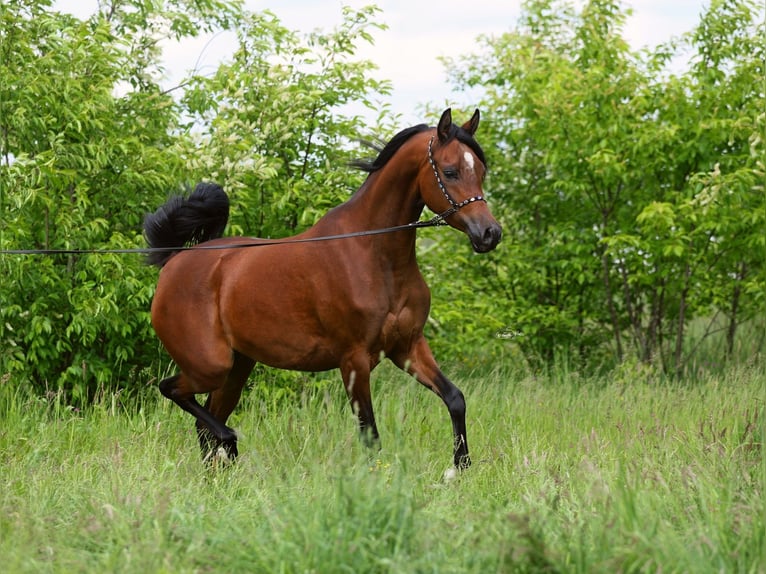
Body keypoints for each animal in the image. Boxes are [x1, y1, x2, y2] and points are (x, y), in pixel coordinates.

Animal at [144, 108, 502, 470]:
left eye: (481, 170)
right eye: (450, 171)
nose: (489, 233)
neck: (374, 255)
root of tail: (175, 260)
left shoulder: (408, 347)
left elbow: (455, 399)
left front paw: (460, 468)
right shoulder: (354, 361)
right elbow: (370, 435)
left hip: (237, 367)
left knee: (204, 425)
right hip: (210, 366)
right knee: (174, 392)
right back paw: (229, 440)